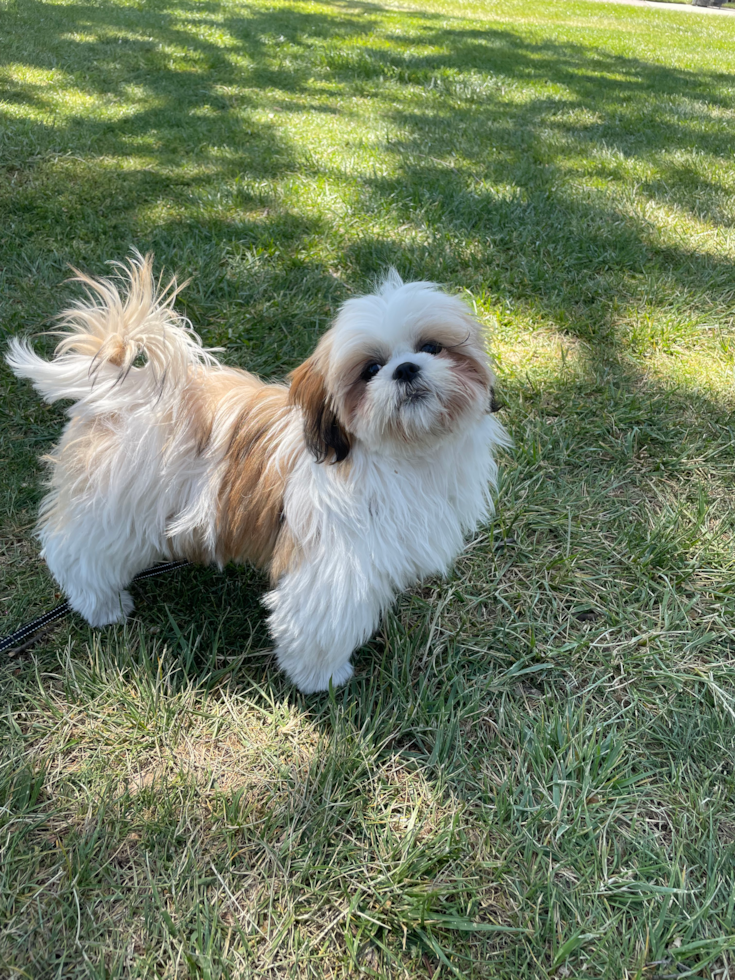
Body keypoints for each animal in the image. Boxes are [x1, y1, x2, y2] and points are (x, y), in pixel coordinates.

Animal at [5, 256, 512, 692]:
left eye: (432, 347)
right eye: (370, 369)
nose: (406, 369)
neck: (401, 454)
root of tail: (121, 385)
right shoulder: (334, 562)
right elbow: (319, 620)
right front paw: (322, 677)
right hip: (116, 500)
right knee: (76, 550)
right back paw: (102, 605)